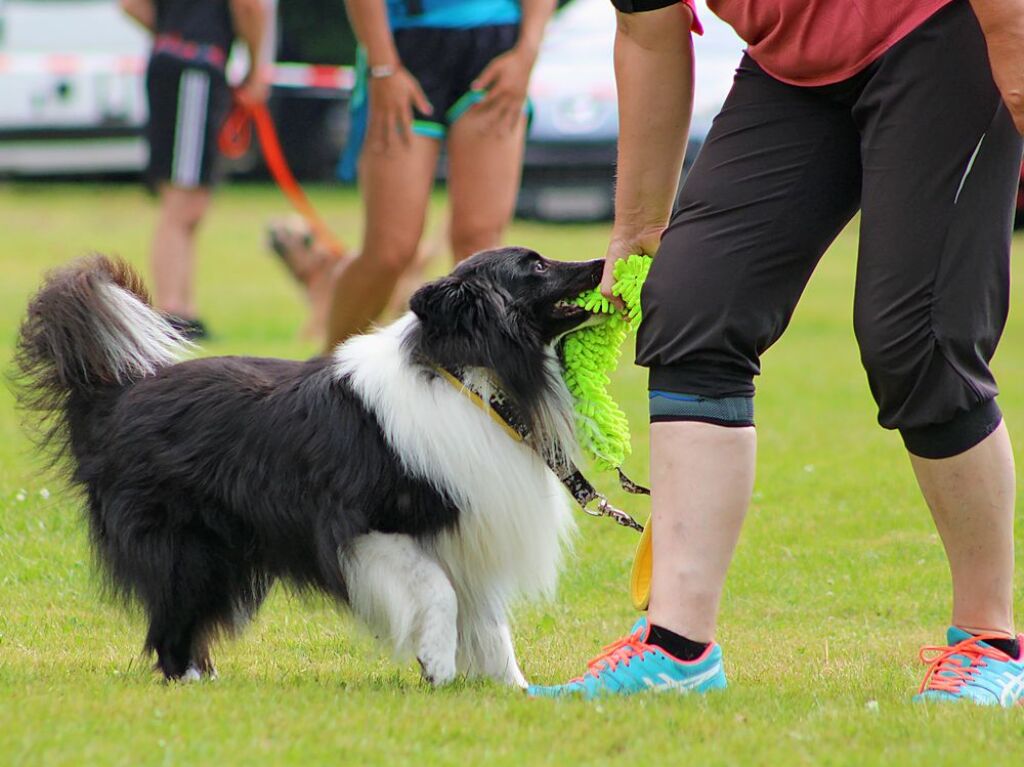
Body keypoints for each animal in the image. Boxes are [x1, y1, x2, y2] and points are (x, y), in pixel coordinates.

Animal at [16, 248, 602, 684]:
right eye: (536, 267)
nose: (602, 261)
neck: (469, 377)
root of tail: (113, 394)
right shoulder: (366, 526)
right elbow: (438, 590)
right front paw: (436, 664)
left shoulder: (466, 530)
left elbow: (488, 622)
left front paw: (514, 689)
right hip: (187, 546)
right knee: (170, 621)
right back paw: (191, 680)